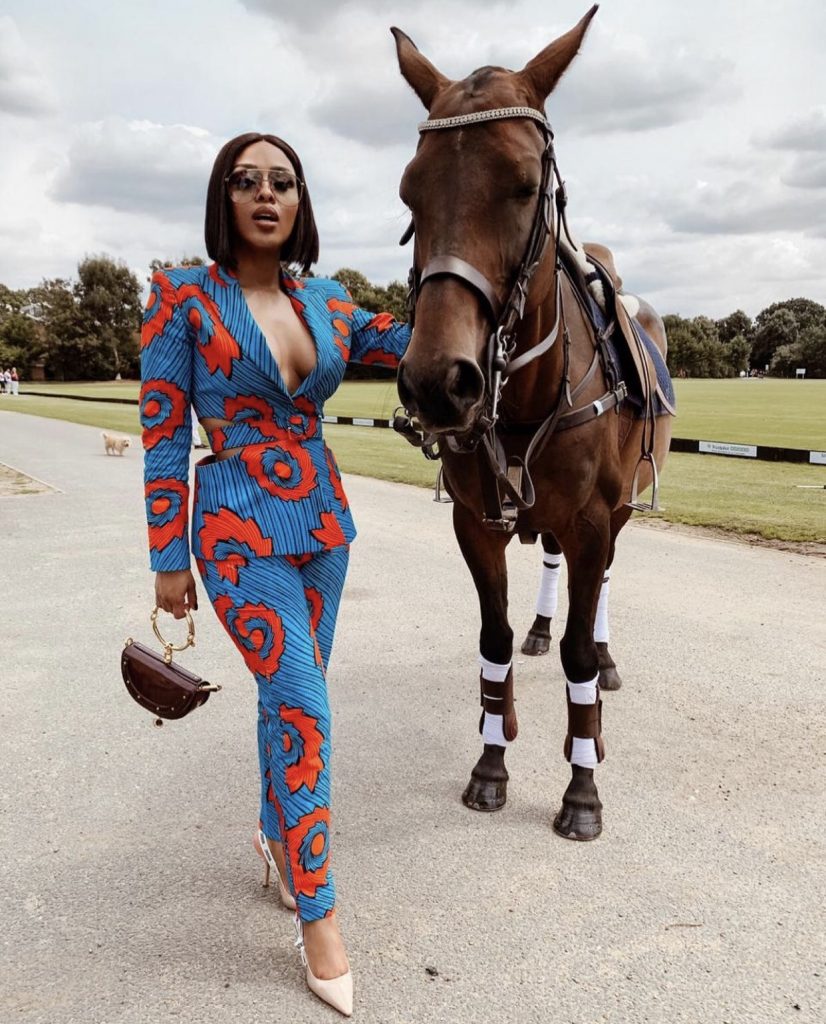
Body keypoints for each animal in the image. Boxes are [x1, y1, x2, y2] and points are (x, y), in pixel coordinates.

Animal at [391, 5, 673, 840]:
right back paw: (542, 631)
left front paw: (582, 787)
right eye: (410, 193)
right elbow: (492, 642)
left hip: (619, 506)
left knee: (599, 590)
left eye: (523, 186)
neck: (521, 401)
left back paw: (602, 670)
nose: (438, 381)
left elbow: (579, 654)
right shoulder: (478, 520)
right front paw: (492, 760)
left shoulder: (593, 518)